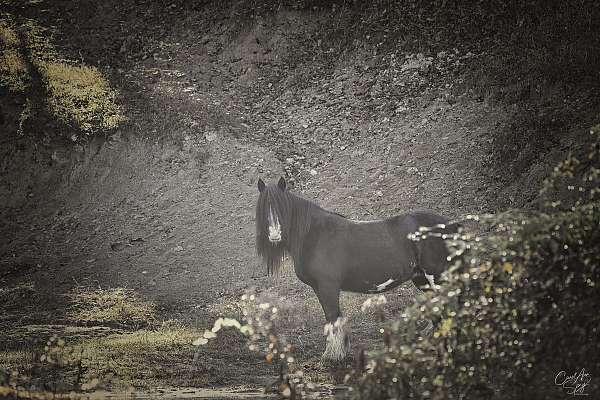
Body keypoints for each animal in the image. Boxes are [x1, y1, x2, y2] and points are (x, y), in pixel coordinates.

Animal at [255, 177, 458, 360]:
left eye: (282, 207)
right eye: (264, 208)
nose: (274, 235)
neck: (313, 235)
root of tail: (449, 224)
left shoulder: (328, 287)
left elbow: (333, 317)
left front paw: (333, 355)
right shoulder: (319, 288)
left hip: (436, 278)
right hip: (422, 279)